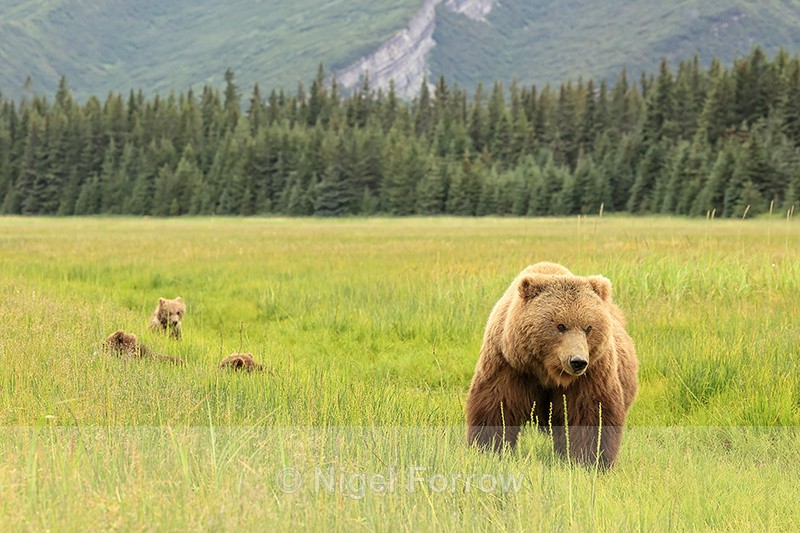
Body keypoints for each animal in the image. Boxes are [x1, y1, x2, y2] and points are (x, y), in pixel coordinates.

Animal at [466, 262, 638, 469]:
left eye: (588, 327)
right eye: (560, 326)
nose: (577, 361)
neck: (548, 371)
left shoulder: (592, 374)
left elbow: (591, 413)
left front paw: (589, 460)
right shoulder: (509, 365)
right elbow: (497, 406)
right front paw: (489, 449)